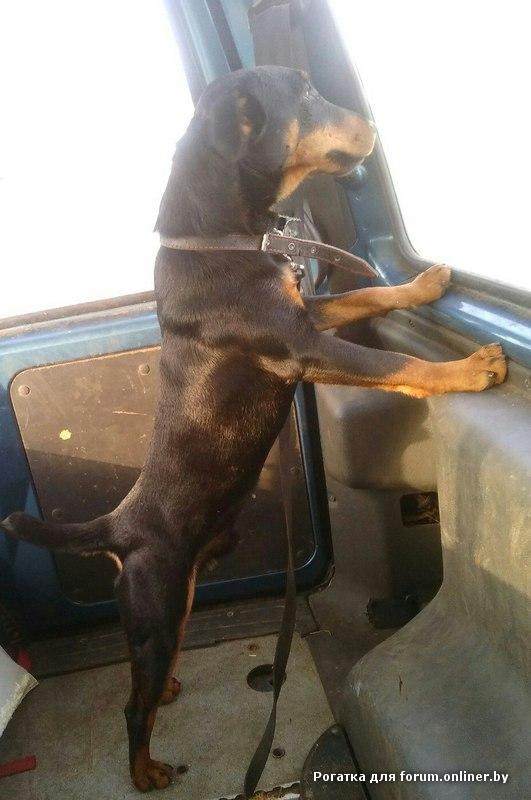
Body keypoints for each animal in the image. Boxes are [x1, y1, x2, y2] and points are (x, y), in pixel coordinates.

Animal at [1, 66, 507, 791]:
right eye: (306, 93)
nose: (374, 123)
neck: (222, 237)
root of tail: (118, 527)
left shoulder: (309, 314)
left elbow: (369, 295)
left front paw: (423, 283)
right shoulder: (303, 347)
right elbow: (398, 364)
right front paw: (470, 368)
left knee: (142, 680)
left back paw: (168, 690)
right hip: (158, 606)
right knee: (131, 706)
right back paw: (144, 769)